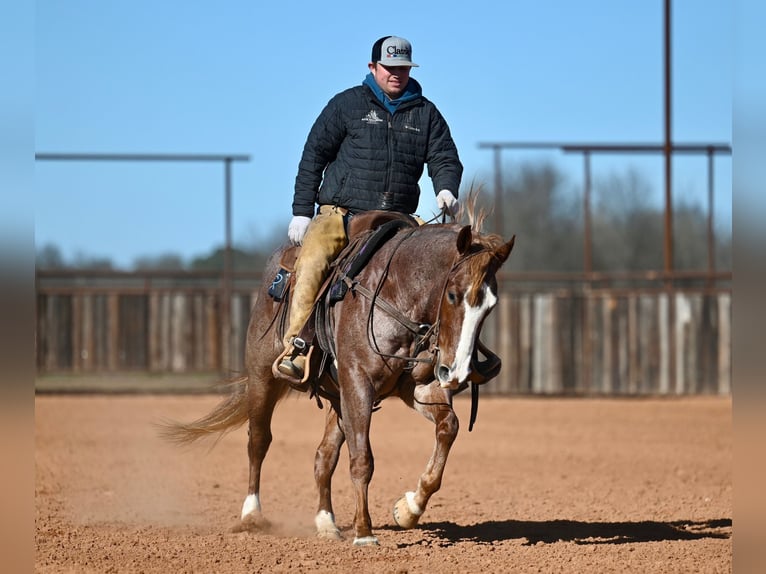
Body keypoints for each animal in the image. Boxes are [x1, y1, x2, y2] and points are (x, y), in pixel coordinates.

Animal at [160, 204, 515, 546]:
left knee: (324, 456)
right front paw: (365, 532)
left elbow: (448, 428)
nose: (456, 371)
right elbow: (362, 460)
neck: (395, 293)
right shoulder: (358, 383)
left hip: (336, 397)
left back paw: (326, 523)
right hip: (263, 376)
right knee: (258, 440)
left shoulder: (416, 388)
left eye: (490, 306)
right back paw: (251, 515)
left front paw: (408, 509)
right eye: (453, 295)